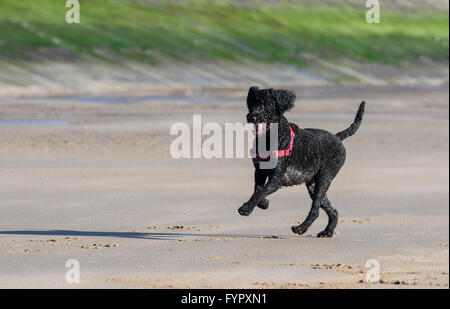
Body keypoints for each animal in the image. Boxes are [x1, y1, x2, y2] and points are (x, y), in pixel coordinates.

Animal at [237, 85, 364, 237]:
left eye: (267, 103)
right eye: (252, 102)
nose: (252, 116)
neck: (272, 136)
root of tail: (337, 137)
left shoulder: (276, 179)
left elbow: (261, 191)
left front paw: (246, 208)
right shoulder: (259, 172)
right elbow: (258, 190)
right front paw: (264, 203)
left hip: (325, 177)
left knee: (315, 209)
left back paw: (301, 227)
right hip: (313, 185)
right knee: (332, 210)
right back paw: (327, 231)